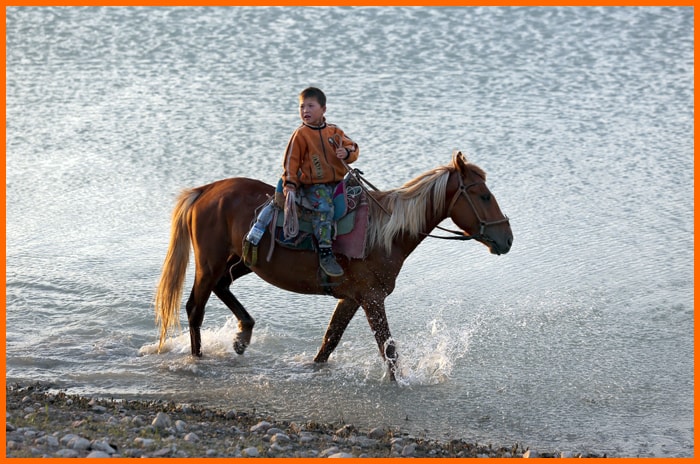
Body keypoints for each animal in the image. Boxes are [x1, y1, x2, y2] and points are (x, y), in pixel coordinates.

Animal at [154, 152, 516, 380]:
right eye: (484, 196)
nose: (507, 238)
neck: (385, 233)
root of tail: (205, 191)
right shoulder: (372, 298)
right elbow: (389, 349)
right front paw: (401, 382)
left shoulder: (352, 298)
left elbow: (329, 342)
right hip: (210, 261)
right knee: (195, 308)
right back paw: (198, 357)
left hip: (241, 260)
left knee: (222, 286)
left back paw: (243, 334)